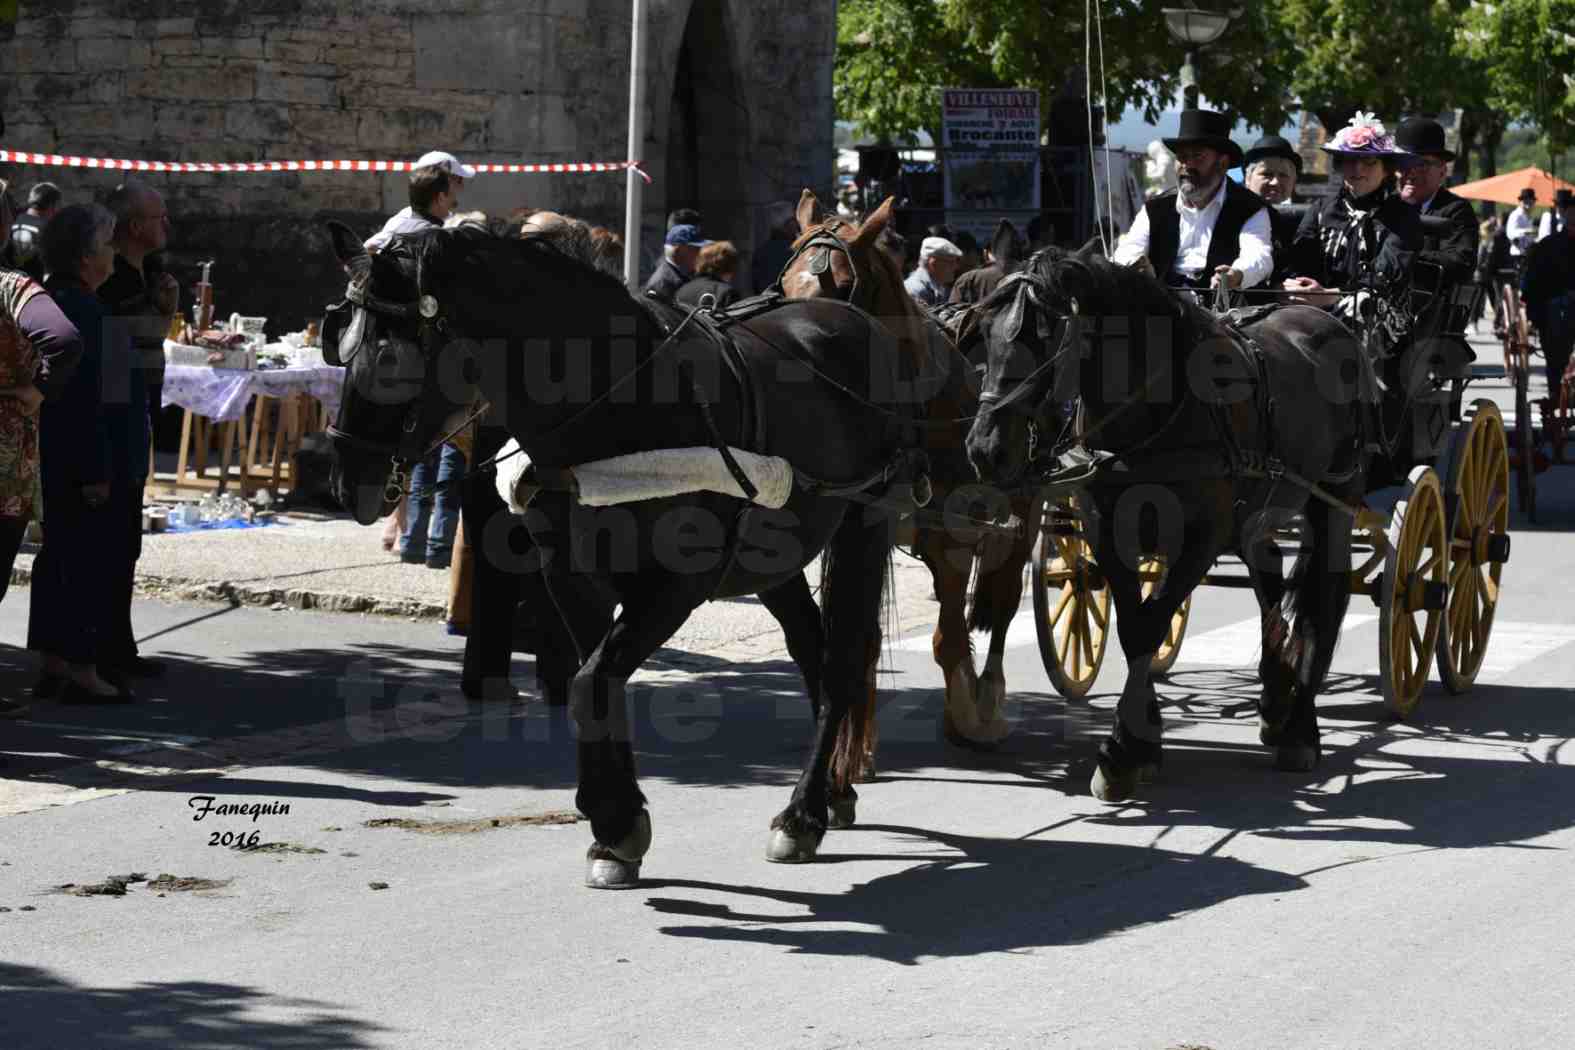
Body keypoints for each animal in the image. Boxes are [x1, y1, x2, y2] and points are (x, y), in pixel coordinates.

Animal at [326, 223, 926, 887]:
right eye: (338, 342)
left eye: (388, 357)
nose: (348, 480)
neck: (616, 407)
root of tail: (852, 318)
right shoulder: (571, 577)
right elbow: (593, 682)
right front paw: (616, 825)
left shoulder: (677, 585)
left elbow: (590, 680)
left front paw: (615, 822)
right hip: (775, 556)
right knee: (812, 652)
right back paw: (832, 794)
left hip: (863, 528)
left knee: (843, 663)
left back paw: (802, 813)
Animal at [778, 192, 1045, 755]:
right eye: (785, 283)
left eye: (843, 287)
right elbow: (865, 636)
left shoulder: (954, 537)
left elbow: (950, 636)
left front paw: (968, 711)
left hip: (1023, 513)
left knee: (1004, 601)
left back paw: (988, 700)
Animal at [957, 248, 1367, 796]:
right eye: (985, 332)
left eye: (1045, 335)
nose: (985, 449)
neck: (1156, 413)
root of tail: (1324, 318)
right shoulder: (1107, 530)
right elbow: (1135, 627)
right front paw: (1136, 744)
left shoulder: (1203, 538)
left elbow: (1151, 624)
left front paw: (1123, 751)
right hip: (1258, 514)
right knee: (1271, 587)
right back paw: (1275, 702)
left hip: (1333, 501)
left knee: (1318, 605)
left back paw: (1299, 728)